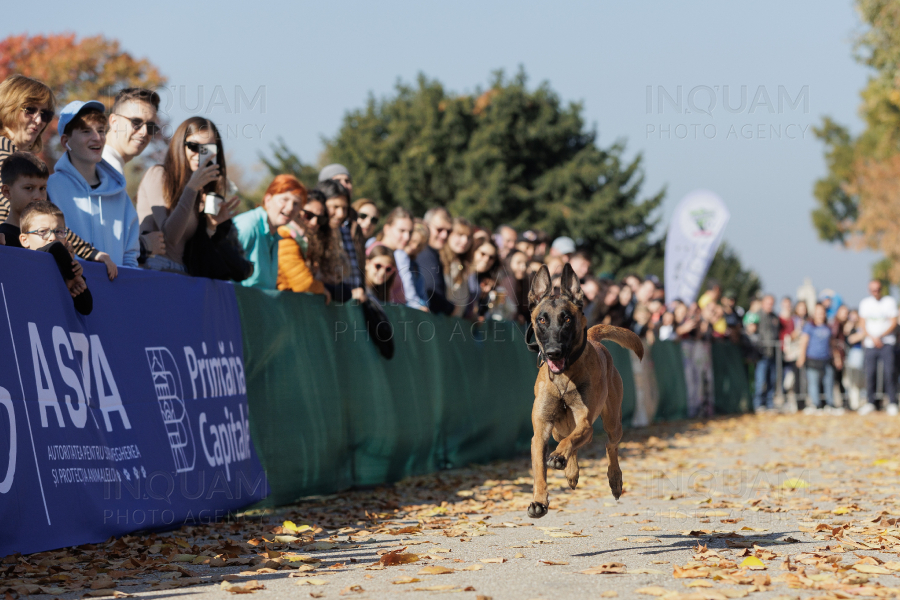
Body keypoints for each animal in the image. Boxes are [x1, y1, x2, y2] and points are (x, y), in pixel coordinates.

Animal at [524, 264, 644, 516]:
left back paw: (614, 479)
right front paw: (539, 501)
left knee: (610, 446)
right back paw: (570, 471)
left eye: (567, 319)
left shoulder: (585, 422)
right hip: (558, 429)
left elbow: (571, 441)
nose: (553, 352)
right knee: (570, 441)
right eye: (542, 320)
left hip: (613, 423)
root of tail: (594, 339)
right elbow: (540, 470)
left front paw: (559, 455)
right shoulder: (541, 431)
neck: (563, 378)